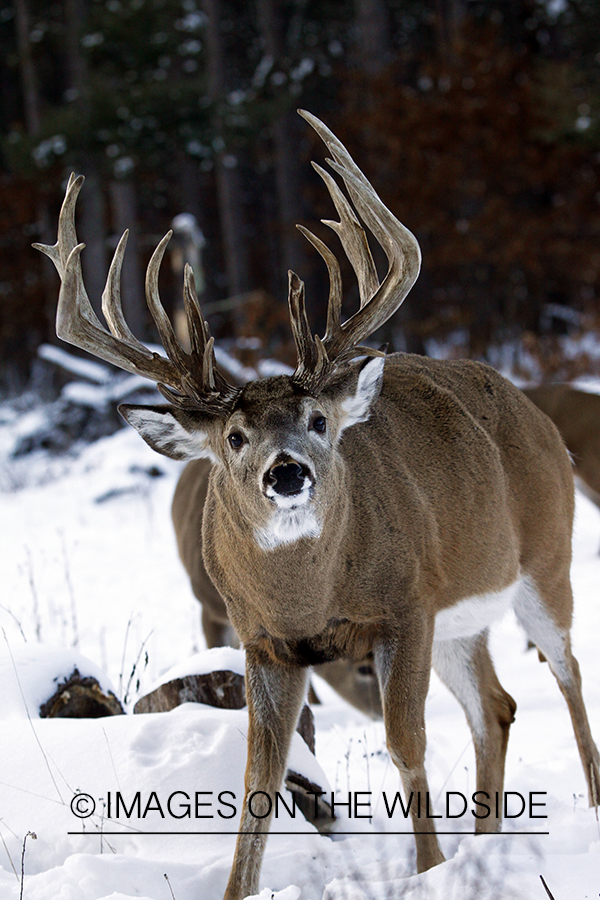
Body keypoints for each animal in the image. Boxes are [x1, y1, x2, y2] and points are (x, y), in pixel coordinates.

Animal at [36, 112, 600, 900]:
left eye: (319, 420)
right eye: (235, 436)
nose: (287, 473)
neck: (311, 597)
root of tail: (535, 413)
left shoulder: (404, 609)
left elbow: (405, 743)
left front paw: (427, 870)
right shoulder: (263, 642)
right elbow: (258, 784)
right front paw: (239, 891)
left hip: (546, 559)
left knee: (569, 675)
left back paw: (584, 810)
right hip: (461, 619)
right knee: (496, 706)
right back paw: (484, 848)